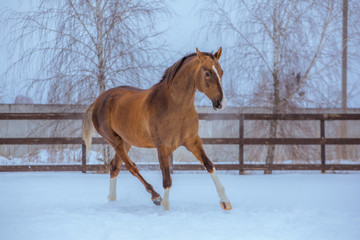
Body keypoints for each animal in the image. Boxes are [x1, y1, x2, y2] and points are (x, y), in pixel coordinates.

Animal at [82, 47, 232, 210]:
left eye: (221, 71)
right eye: (207, 73)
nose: (221, 103)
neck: (175, 107)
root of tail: (99, 99)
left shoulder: (193, 141)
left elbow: (209, 165)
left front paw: (225, 202)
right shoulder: (162, 148)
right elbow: (167, 179)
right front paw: (165, 207)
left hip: (126, 142)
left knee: (115, 167)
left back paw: (112, 200)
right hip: (115, 141)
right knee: (131, 167)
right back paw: (155, 196)